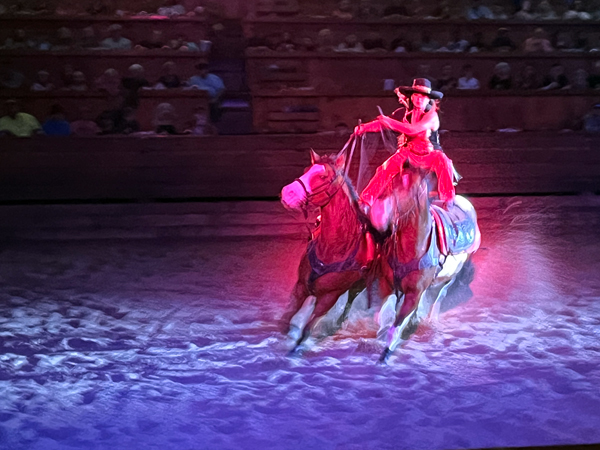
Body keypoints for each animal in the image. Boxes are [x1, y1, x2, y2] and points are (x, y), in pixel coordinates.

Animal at [278, 149, 372, 352]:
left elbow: (306, 330)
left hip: (360, 284)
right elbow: (286, 319)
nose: (288, 192)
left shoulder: (329, 297)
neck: (334, 247)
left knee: (351, 299)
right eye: (306, 169)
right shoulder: (300, 287)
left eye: (322, 176)